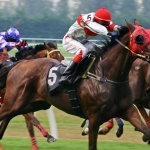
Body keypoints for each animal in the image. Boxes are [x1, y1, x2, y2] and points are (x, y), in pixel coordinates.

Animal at [0, 21, 150, 150]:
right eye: (139, 38)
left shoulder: (128, 110)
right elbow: (92, 145)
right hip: (13, 103)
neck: (106, 75)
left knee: (8, 120)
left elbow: (146, 131)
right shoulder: (94, 117)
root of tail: (18, 64)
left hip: (31, 104)